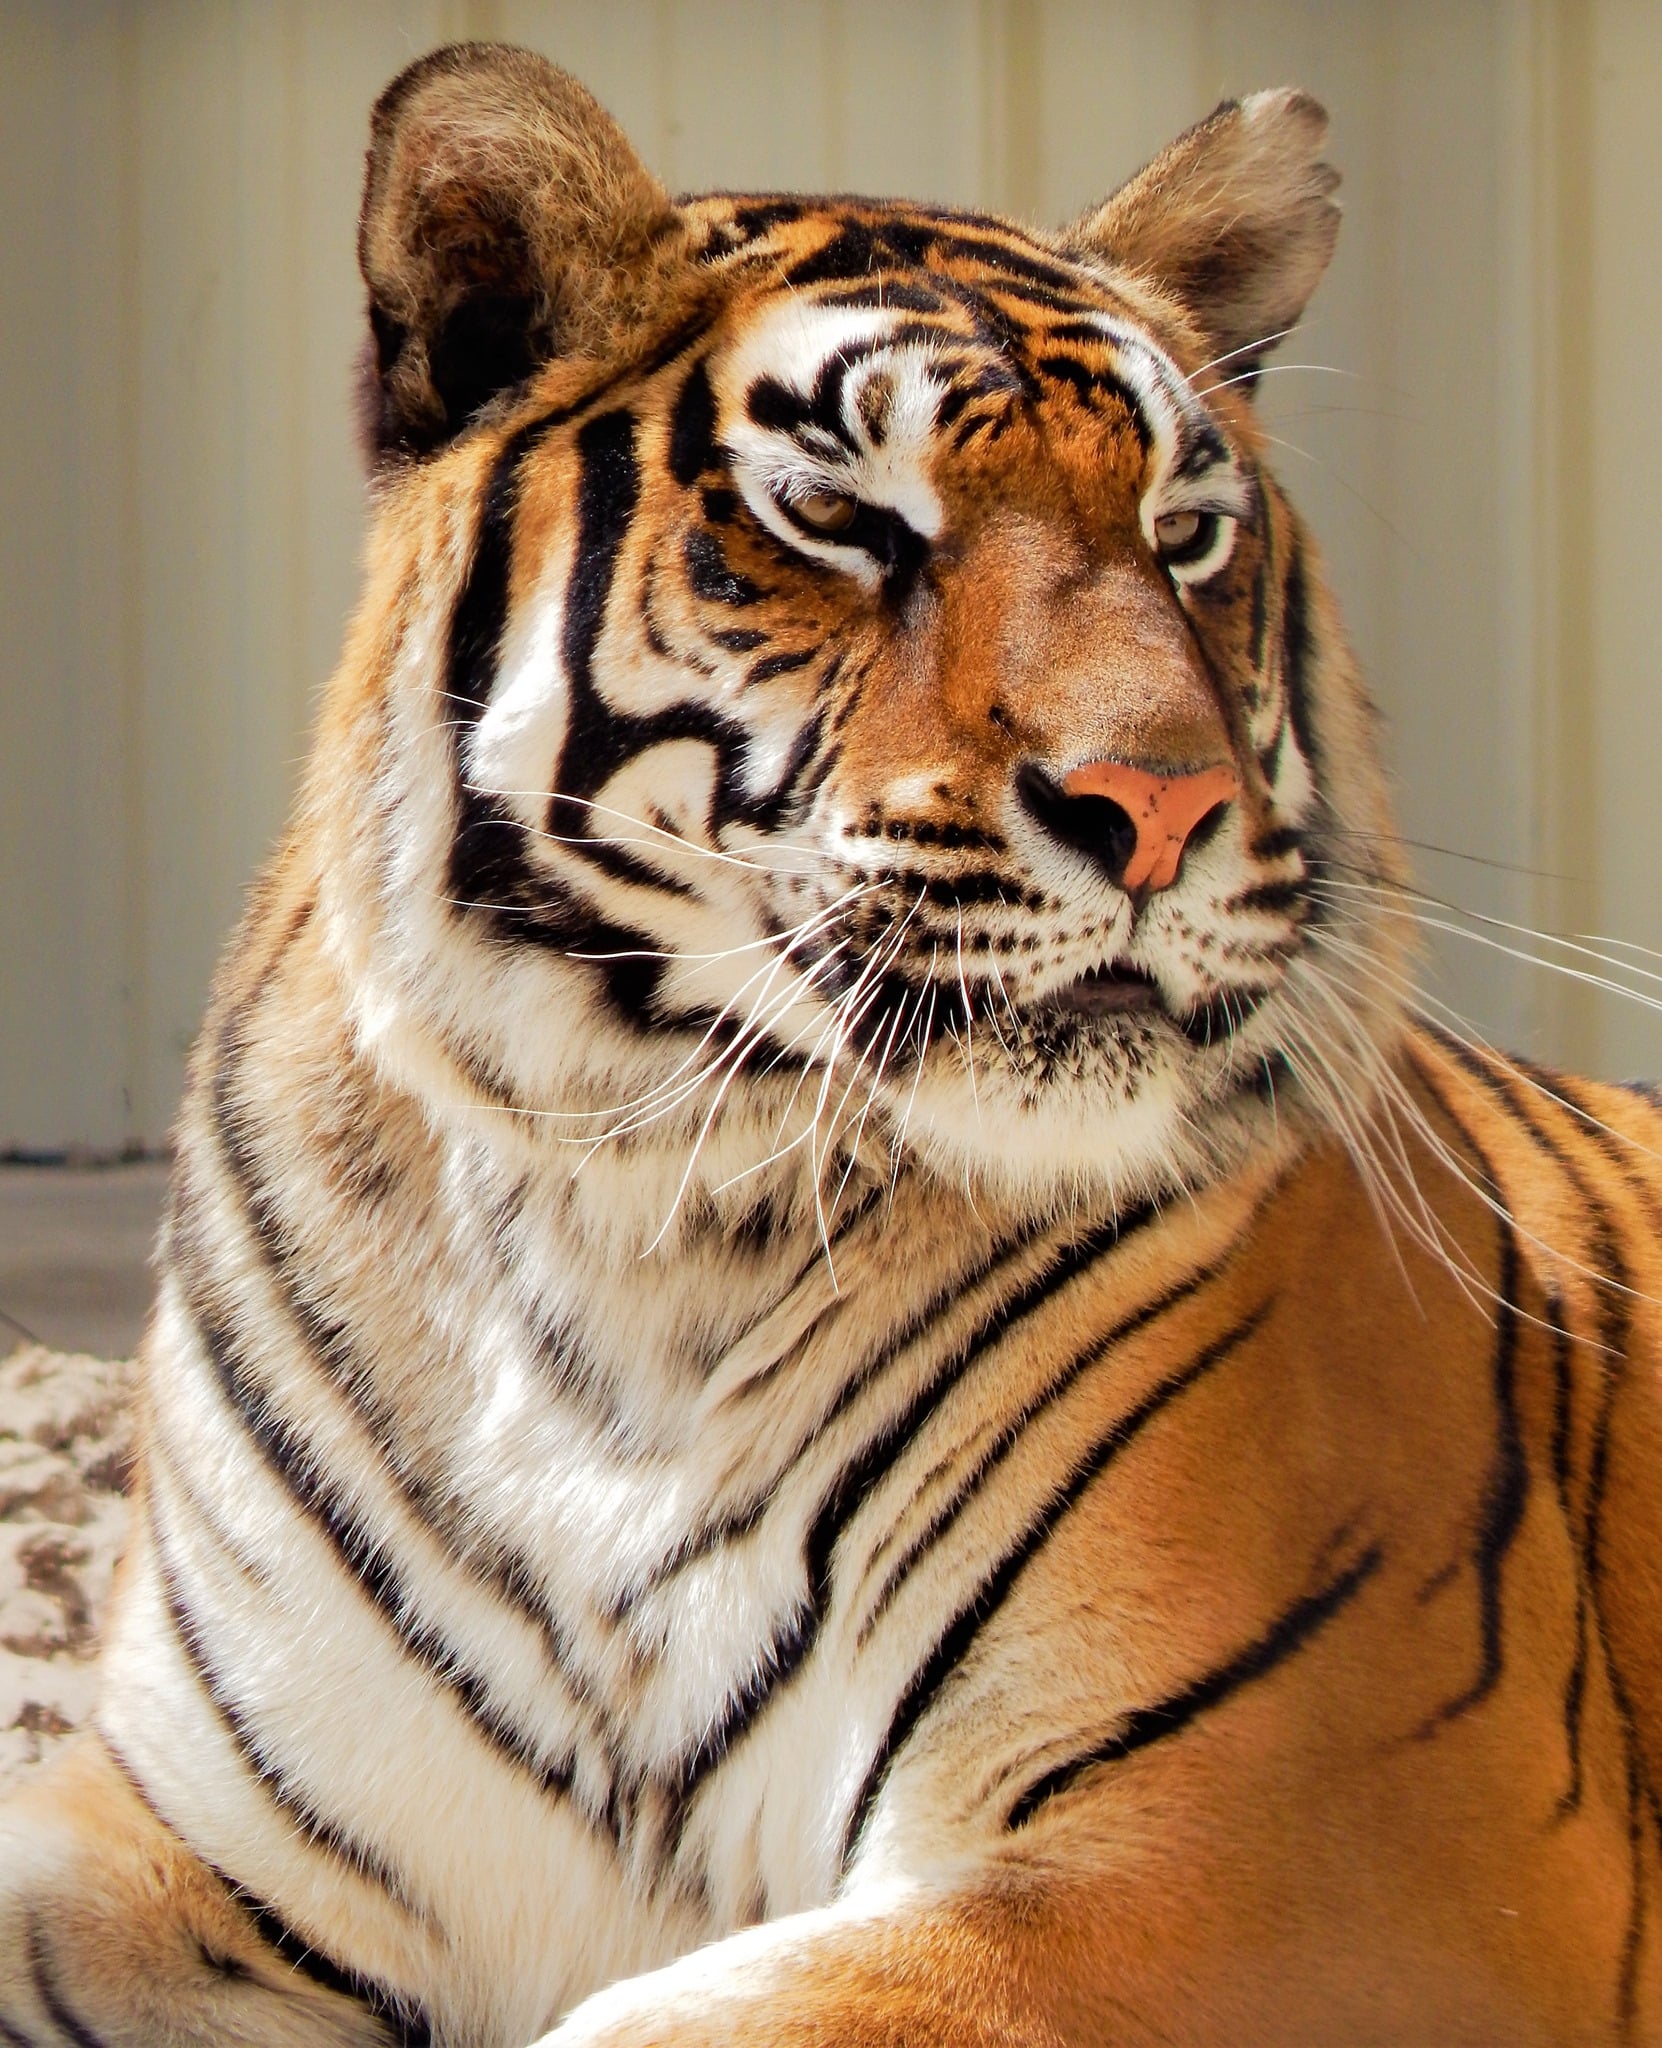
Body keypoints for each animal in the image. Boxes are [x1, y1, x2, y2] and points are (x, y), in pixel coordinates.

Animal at [3, 36, 1662, 2048]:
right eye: (843, 518)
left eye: (1185, 535)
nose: (1162, 805)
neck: (633, 1217)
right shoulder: (182, 1828)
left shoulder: (1300, 1847)